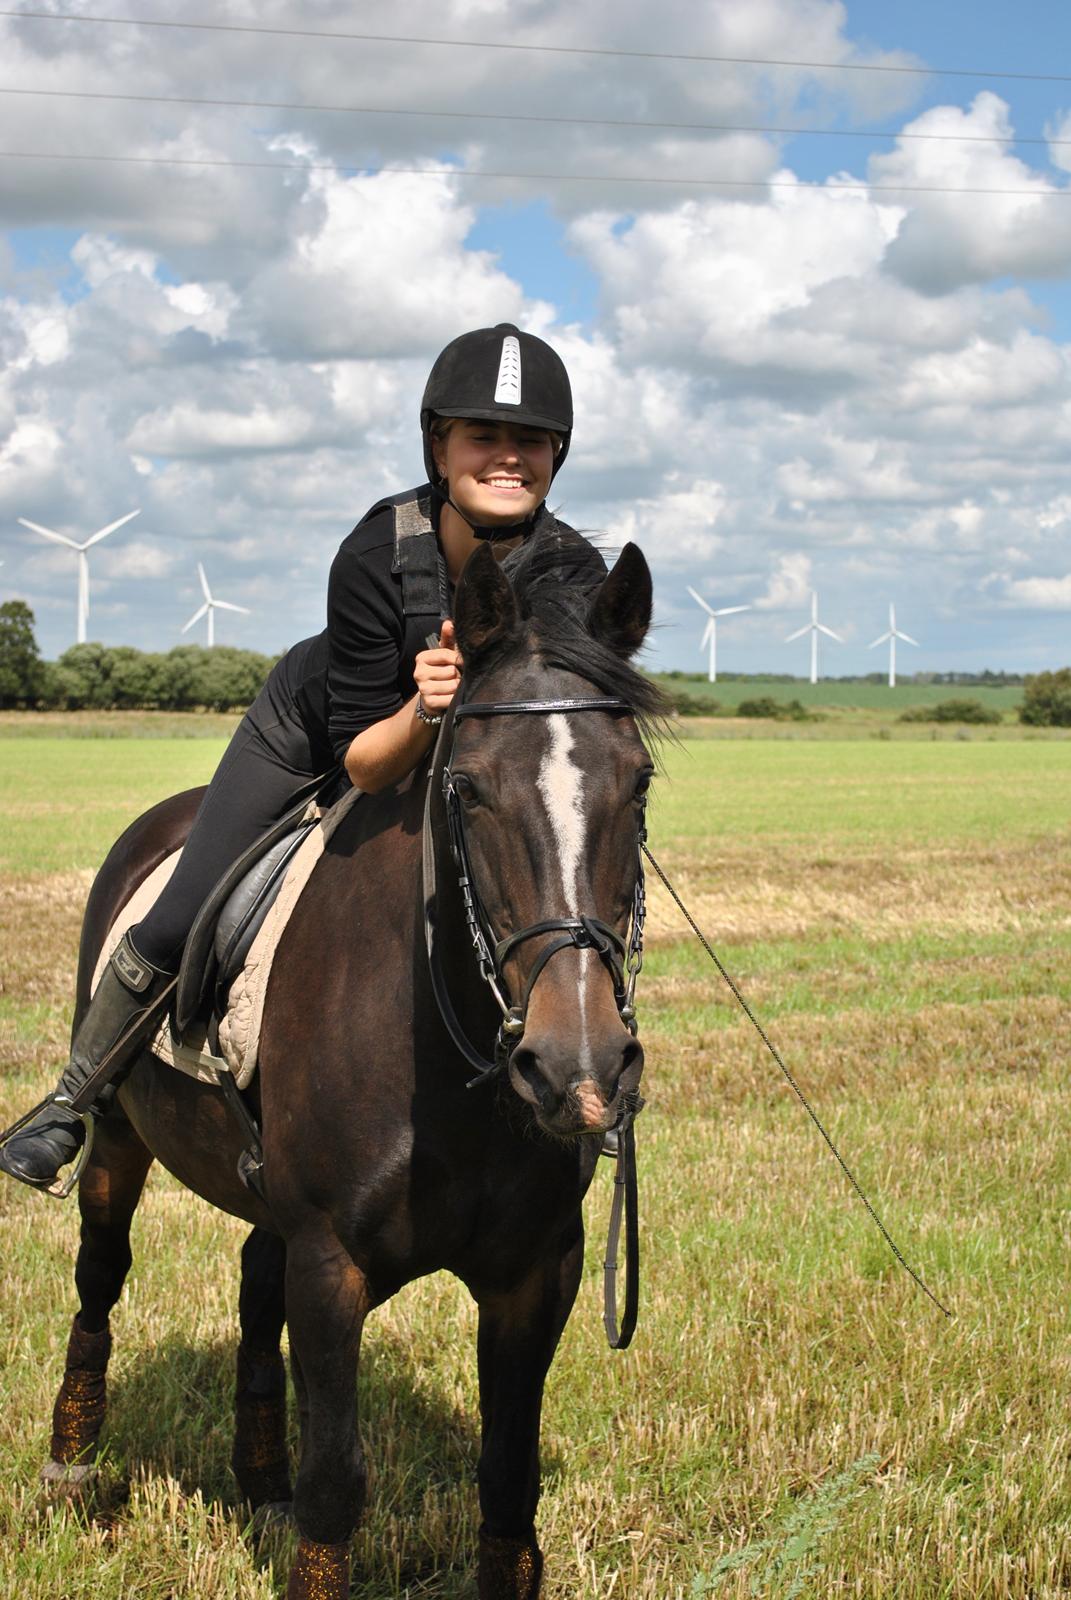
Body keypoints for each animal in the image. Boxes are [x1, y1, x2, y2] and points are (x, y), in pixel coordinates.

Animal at [39, 531, 663, 1600]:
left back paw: (257, 1481)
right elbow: (337, 1483)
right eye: (466, 788)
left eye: (639, 783)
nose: (575, 1065)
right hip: (119, 1141)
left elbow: (509, 1481)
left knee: (253, 1285)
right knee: (100, 1276)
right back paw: (73, 1463)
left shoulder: (538, 1271)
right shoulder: (332, 1264)